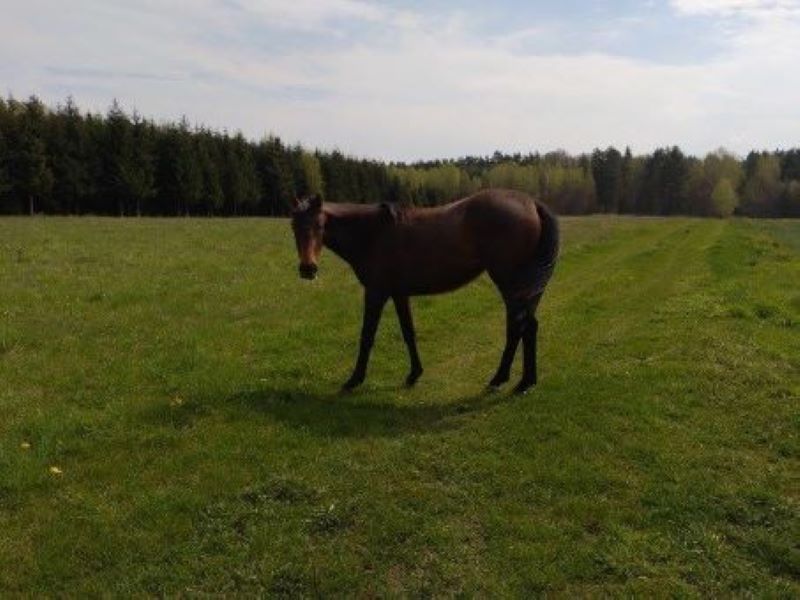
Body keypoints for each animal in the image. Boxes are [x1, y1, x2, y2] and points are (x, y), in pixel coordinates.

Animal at [290, 188, 560, 394]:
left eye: (320, 225)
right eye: (293, 226)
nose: (308, 269)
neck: (373, 232)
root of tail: (531, 203)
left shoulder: (376, 292)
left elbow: (367, 336)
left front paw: (354, 379)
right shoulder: (399, 293)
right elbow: (408, 333)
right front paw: (414, 374)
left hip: (510, 283)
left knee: (519, 326)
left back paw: (504, 379)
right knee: (526, 326)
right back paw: (525, 381)